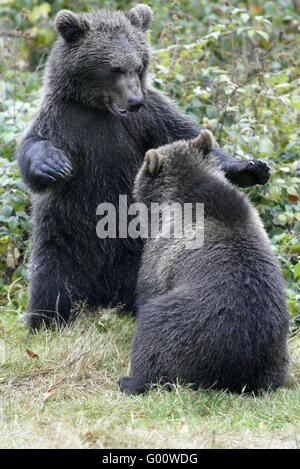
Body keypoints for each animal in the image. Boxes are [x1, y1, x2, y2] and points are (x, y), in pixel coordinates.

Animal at [15, 7, 270, 330]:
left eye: (138, 65)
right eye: (114, 68)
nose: (135, 100)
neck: (101, 110)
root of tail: (104, 295)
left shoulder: (150, 118)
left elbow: (183, 135)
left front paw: (251, 167)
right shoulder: (65, 120)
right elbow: (32, 147)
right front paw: (52, 164)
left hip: (141, 248)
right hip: (64, 238)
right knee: (53, 284)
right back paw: (45, 322)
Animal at [118, 130, 290, 394]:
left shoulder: (162, 252)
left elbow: (149, 286)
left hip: (187, 327)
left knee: (154, 338)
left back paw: (131, 380)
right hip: (277, 355)